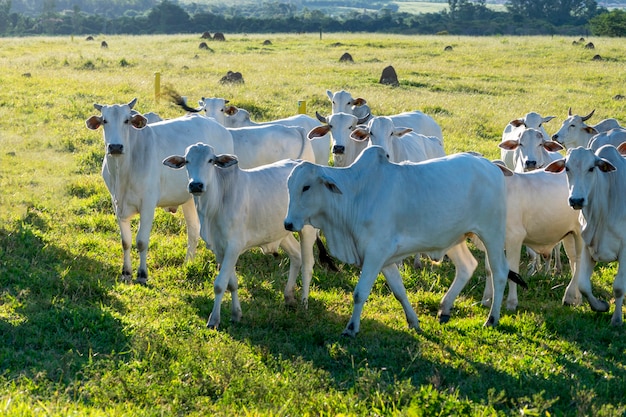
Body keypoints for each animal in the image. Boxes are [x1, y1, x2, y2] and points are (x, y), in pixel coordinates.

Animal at [85, 99, 234, 284]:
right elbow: (125, 241)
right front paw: (126, 273)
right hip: (189, 199)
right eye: (105, 121)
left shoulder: (148, 205)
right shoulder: (117, 204)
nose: (115, 147)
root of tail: (217, 125)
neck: (123, 171)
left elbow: (141, 241)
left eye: (127, 120)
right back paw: (188, 263)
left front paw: (142, 275)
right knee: (193, 229)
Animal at [163, 145, 314, 330]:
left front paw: (214, 320)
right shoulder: (219, 248)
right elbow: (231, 283)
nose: (196, 185)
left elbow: (220, 285)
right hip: (280, 231)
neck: (215, 205)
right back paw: (289, 297)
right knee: (296, 256)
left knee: (307, 265)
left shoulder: (233, 246)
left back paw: (304, 304)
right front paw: (236, 314)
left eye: (210, 160)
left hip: (307, 229)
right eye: (187, 161)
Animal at [282, 145, 520, 334]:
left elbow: (360, 292)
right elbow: (399, 292)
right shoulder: (384, 259)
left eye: (306, 187)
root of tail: (489, 165)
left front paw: (351, 328)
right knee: (467, 266)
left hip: (492, 233)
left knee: (499, 272)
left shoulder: (375, 253)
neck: (356, 194)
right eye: (289, 186)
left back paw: (492, 319)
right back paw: (445, 308)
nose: (288, 223)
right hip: (454, 238)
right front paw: (413, 322)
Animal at [480, 164, 584, 310]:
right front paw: (487, 299)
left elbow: (512, 269)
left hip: (581, 232)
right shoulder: (489, 241)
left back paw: (569, 297)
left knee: (580, 262)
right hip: (569, 234)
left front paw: (511, 303)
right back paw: (577, 298)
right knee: (574, 260)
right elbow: (489, 269)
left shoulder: (514, 237)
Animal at [540, 143, 624, 324]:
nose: (576, 200)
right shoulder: (587, 245)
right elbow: (583, 285)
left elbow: (619, 287)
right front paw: (601, 306)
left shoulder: (625, 251)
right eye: (567, 168)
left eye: (592, 168)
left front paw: (616, 320)